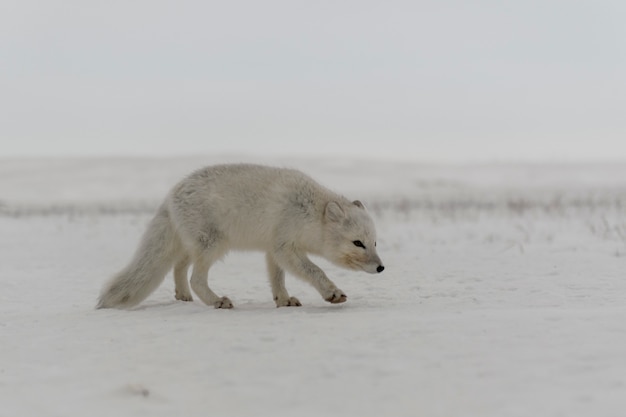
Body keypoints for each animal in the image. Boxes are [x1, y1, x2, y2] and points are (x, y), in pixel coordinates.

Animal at [95, 162, 382, 308]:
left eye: (375, 242)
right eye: (358, 243)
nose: (381, 268)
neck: (308, 211)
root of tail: (171, 193)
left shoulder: (273, 249)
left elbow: (277, 279)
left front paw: (283, 300)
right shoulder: (285, 247)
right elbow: (315, 270)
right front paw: (332, 293)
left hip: (194, 245)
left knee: (179, 267)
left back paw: (183, 296)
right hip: (212, 245)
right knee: (196, 278)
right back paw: (216, 301)